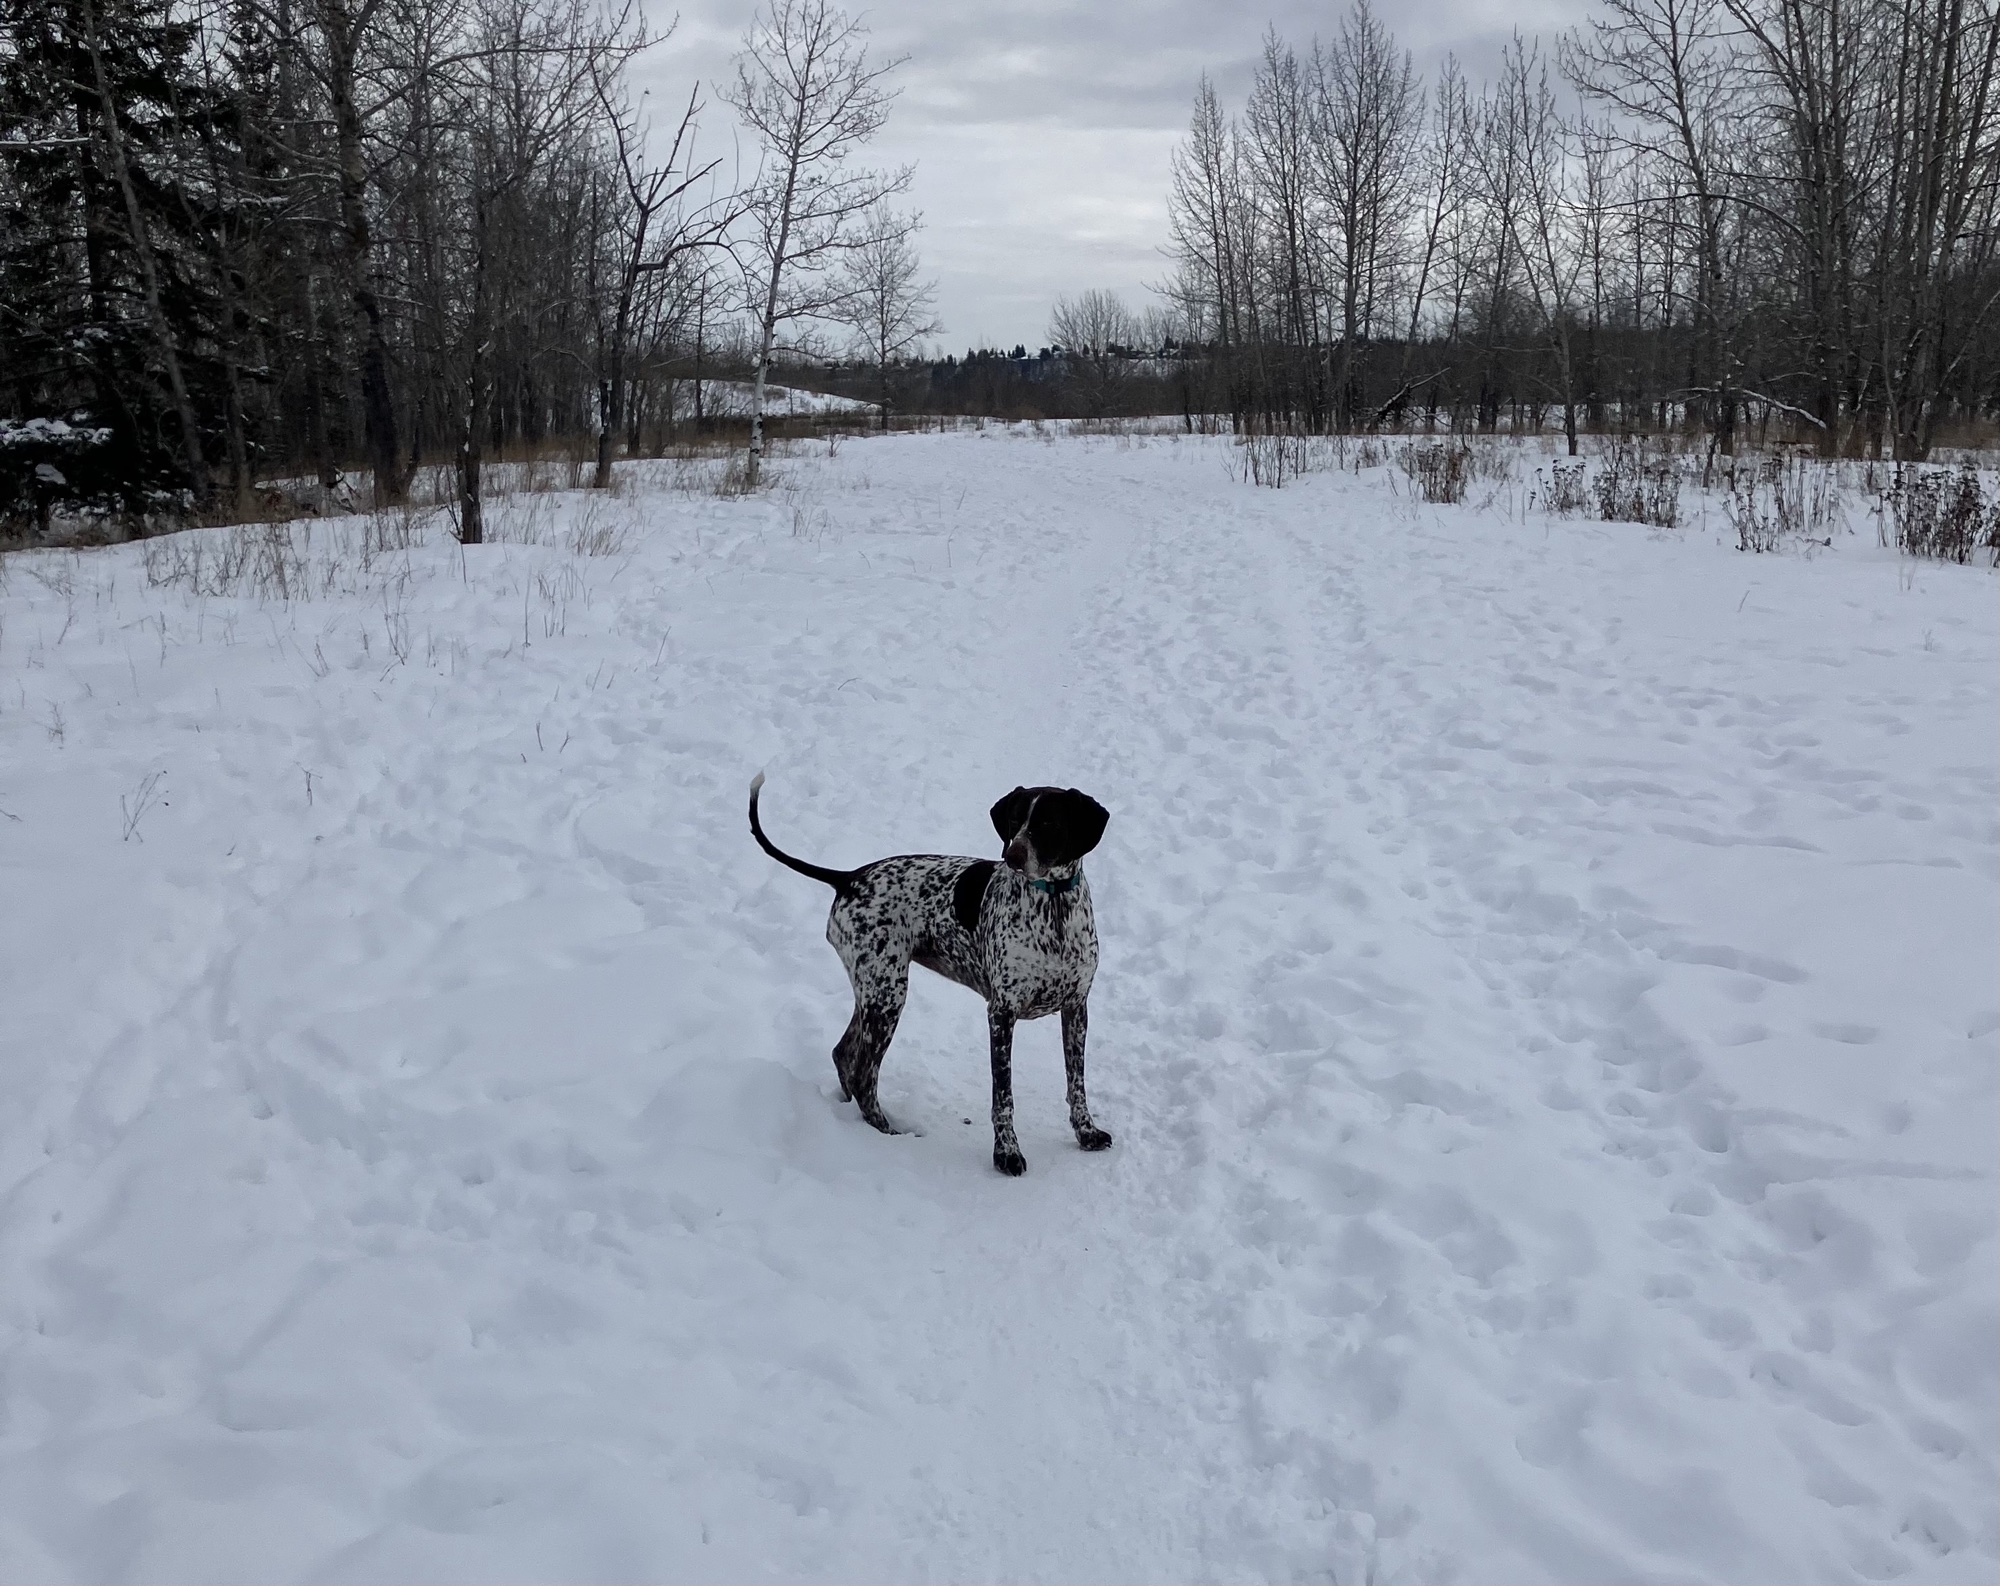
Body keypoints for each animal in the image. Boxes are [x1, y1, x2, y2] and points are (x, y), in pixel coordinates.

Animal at [749, 774, 1112, 1176]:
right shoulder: (1001, 1014)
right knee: (863, 1075)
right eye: (1015, 821)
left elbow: (1076, 1084)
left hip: (873, 992)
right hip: (887, 994)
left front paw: (1086, 1132)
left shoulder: (1076, 1008)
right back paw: (886, 1134)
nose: (1012, 856)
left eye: (1049, 823)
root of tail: (849, 878)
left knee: (844, 1055)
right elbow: (1003, 1096)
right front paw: (1006, 1153)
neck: (1054, 909)